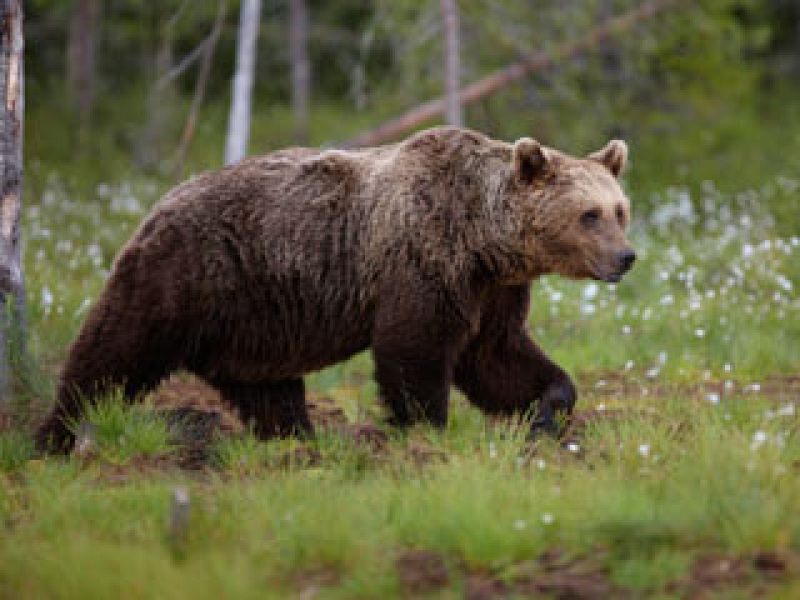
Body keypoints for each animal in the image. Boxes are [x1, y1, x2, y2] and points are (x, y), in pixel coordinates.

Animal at [36, 126, 635, 452]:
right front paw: (423, 431)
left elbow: (498, 357)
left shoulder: (492, 291)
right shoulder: (421, 259)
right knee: (114, 350)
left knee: (268, 389)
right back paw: (54, 435)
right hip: (184, 275)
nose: (626, 257)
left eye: (619, 210)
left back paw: (298, 441)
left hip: (255, 319)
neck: (483, 239)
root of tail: (157, 203)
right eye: (589, 214)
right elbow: (413, 351)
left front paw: (547, 413)